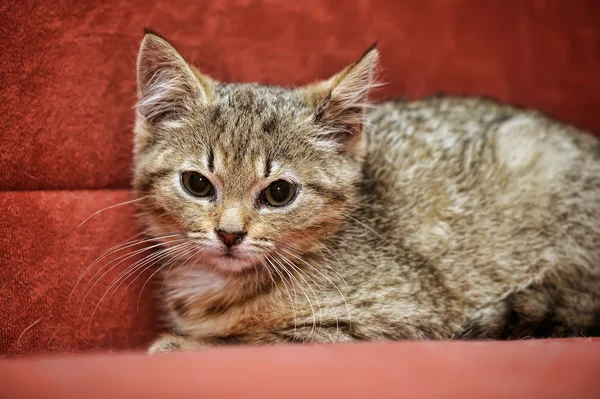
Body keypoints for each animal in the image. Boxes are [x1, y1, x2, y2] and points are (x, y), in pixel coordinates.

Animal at [134, 29, 600, 354]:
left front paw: (184, 343)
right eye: (197, 184)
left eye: (279, 192)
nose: (229, 235)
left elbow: (260, 340)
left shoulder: (404, 320)